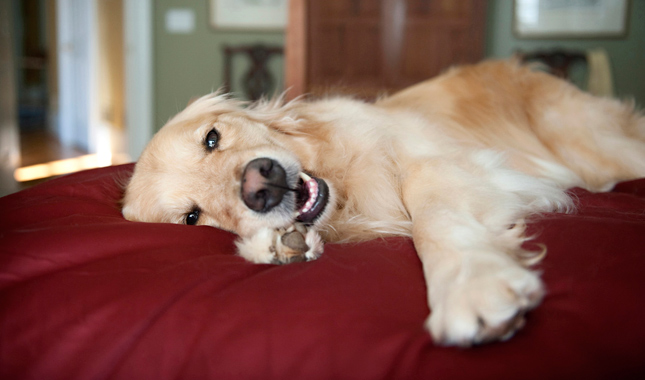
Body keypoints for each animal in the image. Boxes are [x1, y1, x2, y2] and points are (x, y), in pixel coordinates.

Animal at [121, 60, 644, 348]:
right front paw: (280, 244)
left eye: (212, 138)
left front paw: (471, 283)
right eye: (192, 217)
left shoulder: (440, 164)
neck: (344, 185)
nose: (261, 184)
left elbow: (433, 219)